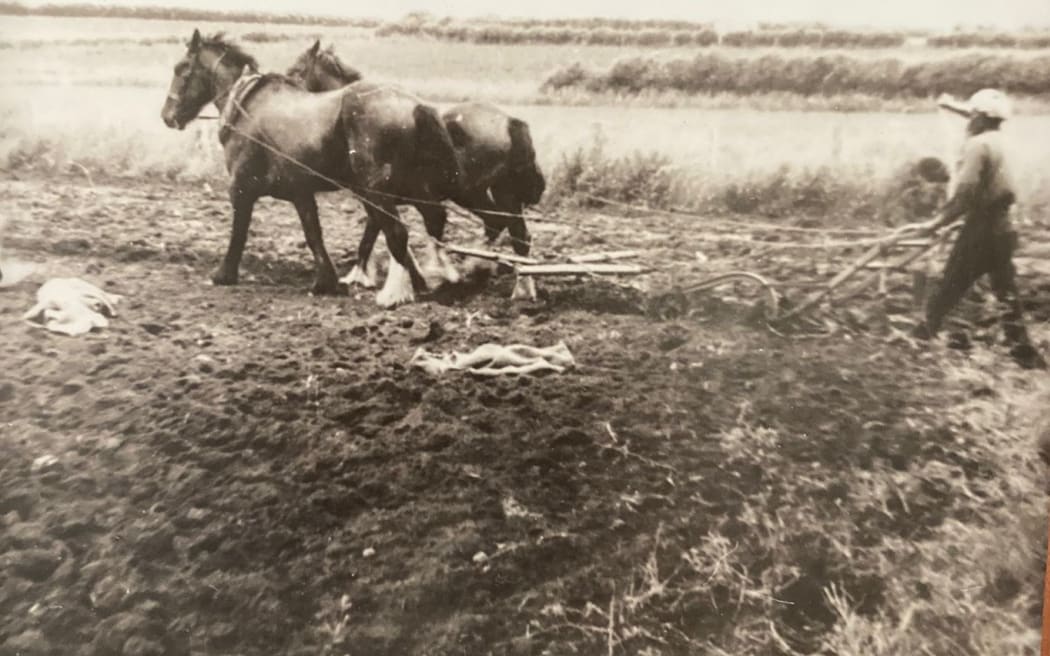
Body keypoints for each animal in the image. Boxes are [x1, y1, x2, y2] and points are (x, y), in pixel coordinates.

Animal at [158, 30, 459, 306]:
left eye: (181, 69)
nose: (167, 116)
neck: (245, 105)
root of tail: (415, 106)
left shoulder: (241, 188)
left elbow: (239, 231)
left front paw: (224, 274)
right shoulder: (300, 191)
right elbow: (313, 233)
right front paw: (326, 281)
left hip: (377, 189)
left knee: (398, 231)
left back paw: (394, 293)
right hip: (409, 185)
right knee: (433, 218)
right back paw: (438, 277)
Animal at [287, 38, 550, 300]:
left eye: (297, 70)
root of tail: (509, 122)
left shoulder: (373, 196)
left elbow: (375, 235)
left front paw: (362, 276)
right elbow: (381, 234)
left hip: (475, 193)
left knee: (503, 227)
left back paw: (482, 271)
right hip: (498, 193)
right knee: (513, 231)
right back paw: (509, 281)